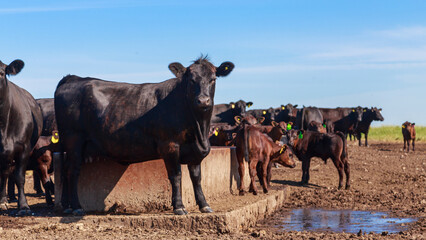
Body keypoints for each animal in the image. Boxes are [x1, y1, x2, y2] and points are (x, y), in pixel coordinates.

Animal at [55, 56, 235, 216]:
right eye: (191, 80)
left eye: (213, 79)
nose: (203, 101)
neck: (199, 130)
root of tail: (73, 78)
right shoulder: (169, 146)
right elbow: (176, 176)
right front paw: (179, 207)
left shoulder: (195, 151)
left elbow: (197, 178)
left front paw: (204, 205)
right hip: (74, 140)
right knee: (73, 171)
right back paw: (77, 207)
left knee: (65, 169)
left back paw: (67, 206)